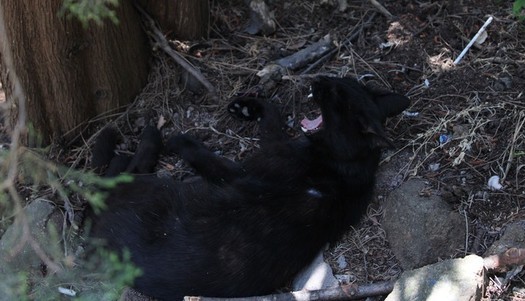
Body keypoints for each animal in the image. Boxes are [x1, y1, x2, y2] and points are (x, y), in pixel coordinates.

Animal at [89, 76, 410, 298]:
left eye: (335, 93)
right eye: (339, 82)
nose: (319, 79)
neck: (346, 163)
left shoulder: (249, 167)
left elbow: (226, 151)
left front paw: (182, 141)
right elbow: (274, 118)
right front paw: (247, 106)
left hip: (146, 188)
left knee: (123, 171)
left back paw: (144, 137)